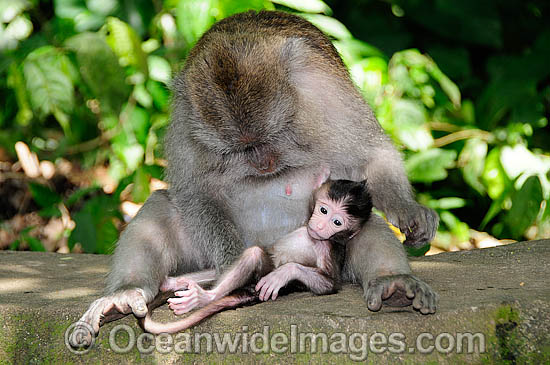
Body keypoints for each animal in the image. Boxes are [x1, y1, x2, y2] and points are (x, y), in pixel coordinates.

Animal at [142, 178, 376, 334]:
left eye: (337, 222)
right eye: (324, 210)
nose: (319, 226)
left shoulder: (329, 248)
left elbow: (329, 284)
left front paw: (285, 272)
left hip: (258, 279)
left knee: (254, 255)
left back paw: (203, 297)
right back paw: (174, 282)